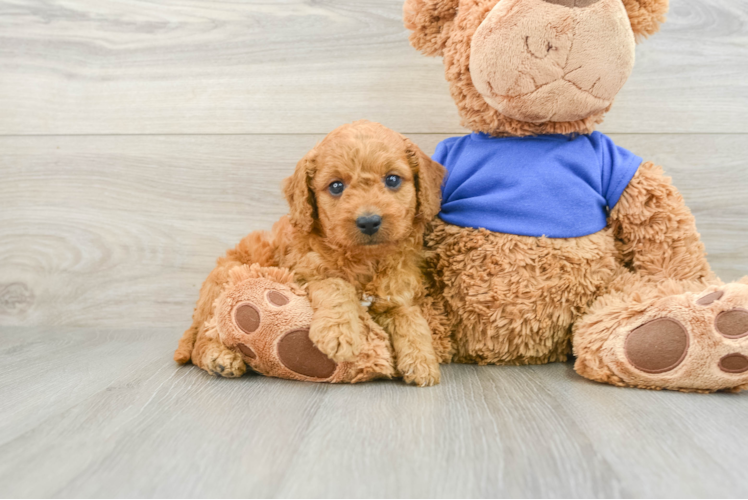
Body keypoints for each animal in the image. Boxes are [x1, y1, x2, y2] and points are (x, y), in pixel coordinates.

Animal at [175, 121, 444, 386]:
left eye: (393, 180)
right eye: (336, 186)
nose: (369, 222)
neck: (364, 258)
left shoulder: (396, 295)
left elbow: (410, 318)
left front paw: (422, 361)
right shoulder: (302, 276)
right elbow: (336, 284)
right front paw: (339, 333)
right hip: (224, 282)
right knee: (202, 338)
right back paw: (219, 358)